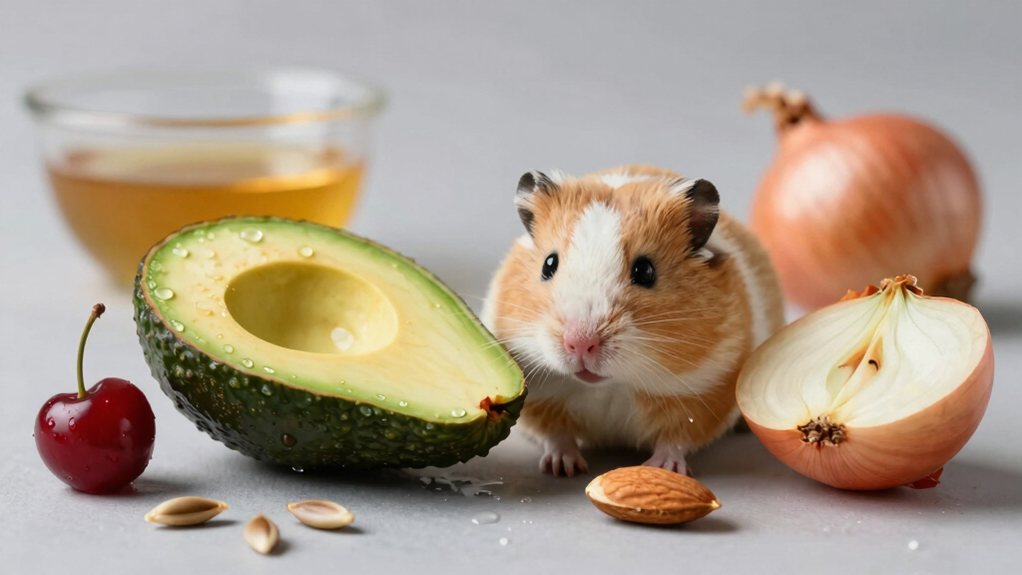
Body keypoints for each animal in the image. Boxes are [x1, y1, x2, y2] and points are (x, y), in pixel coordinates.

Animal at [482, 165, 784, 476]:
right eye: (548, 264)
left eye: (645, 271)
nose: (581, 344)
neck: (611, 385)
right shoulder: (544, 397)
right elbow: (555, 434)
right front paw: (564, 468)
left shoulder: (706, 390)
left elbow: (676, 439)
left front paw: (662, 469)